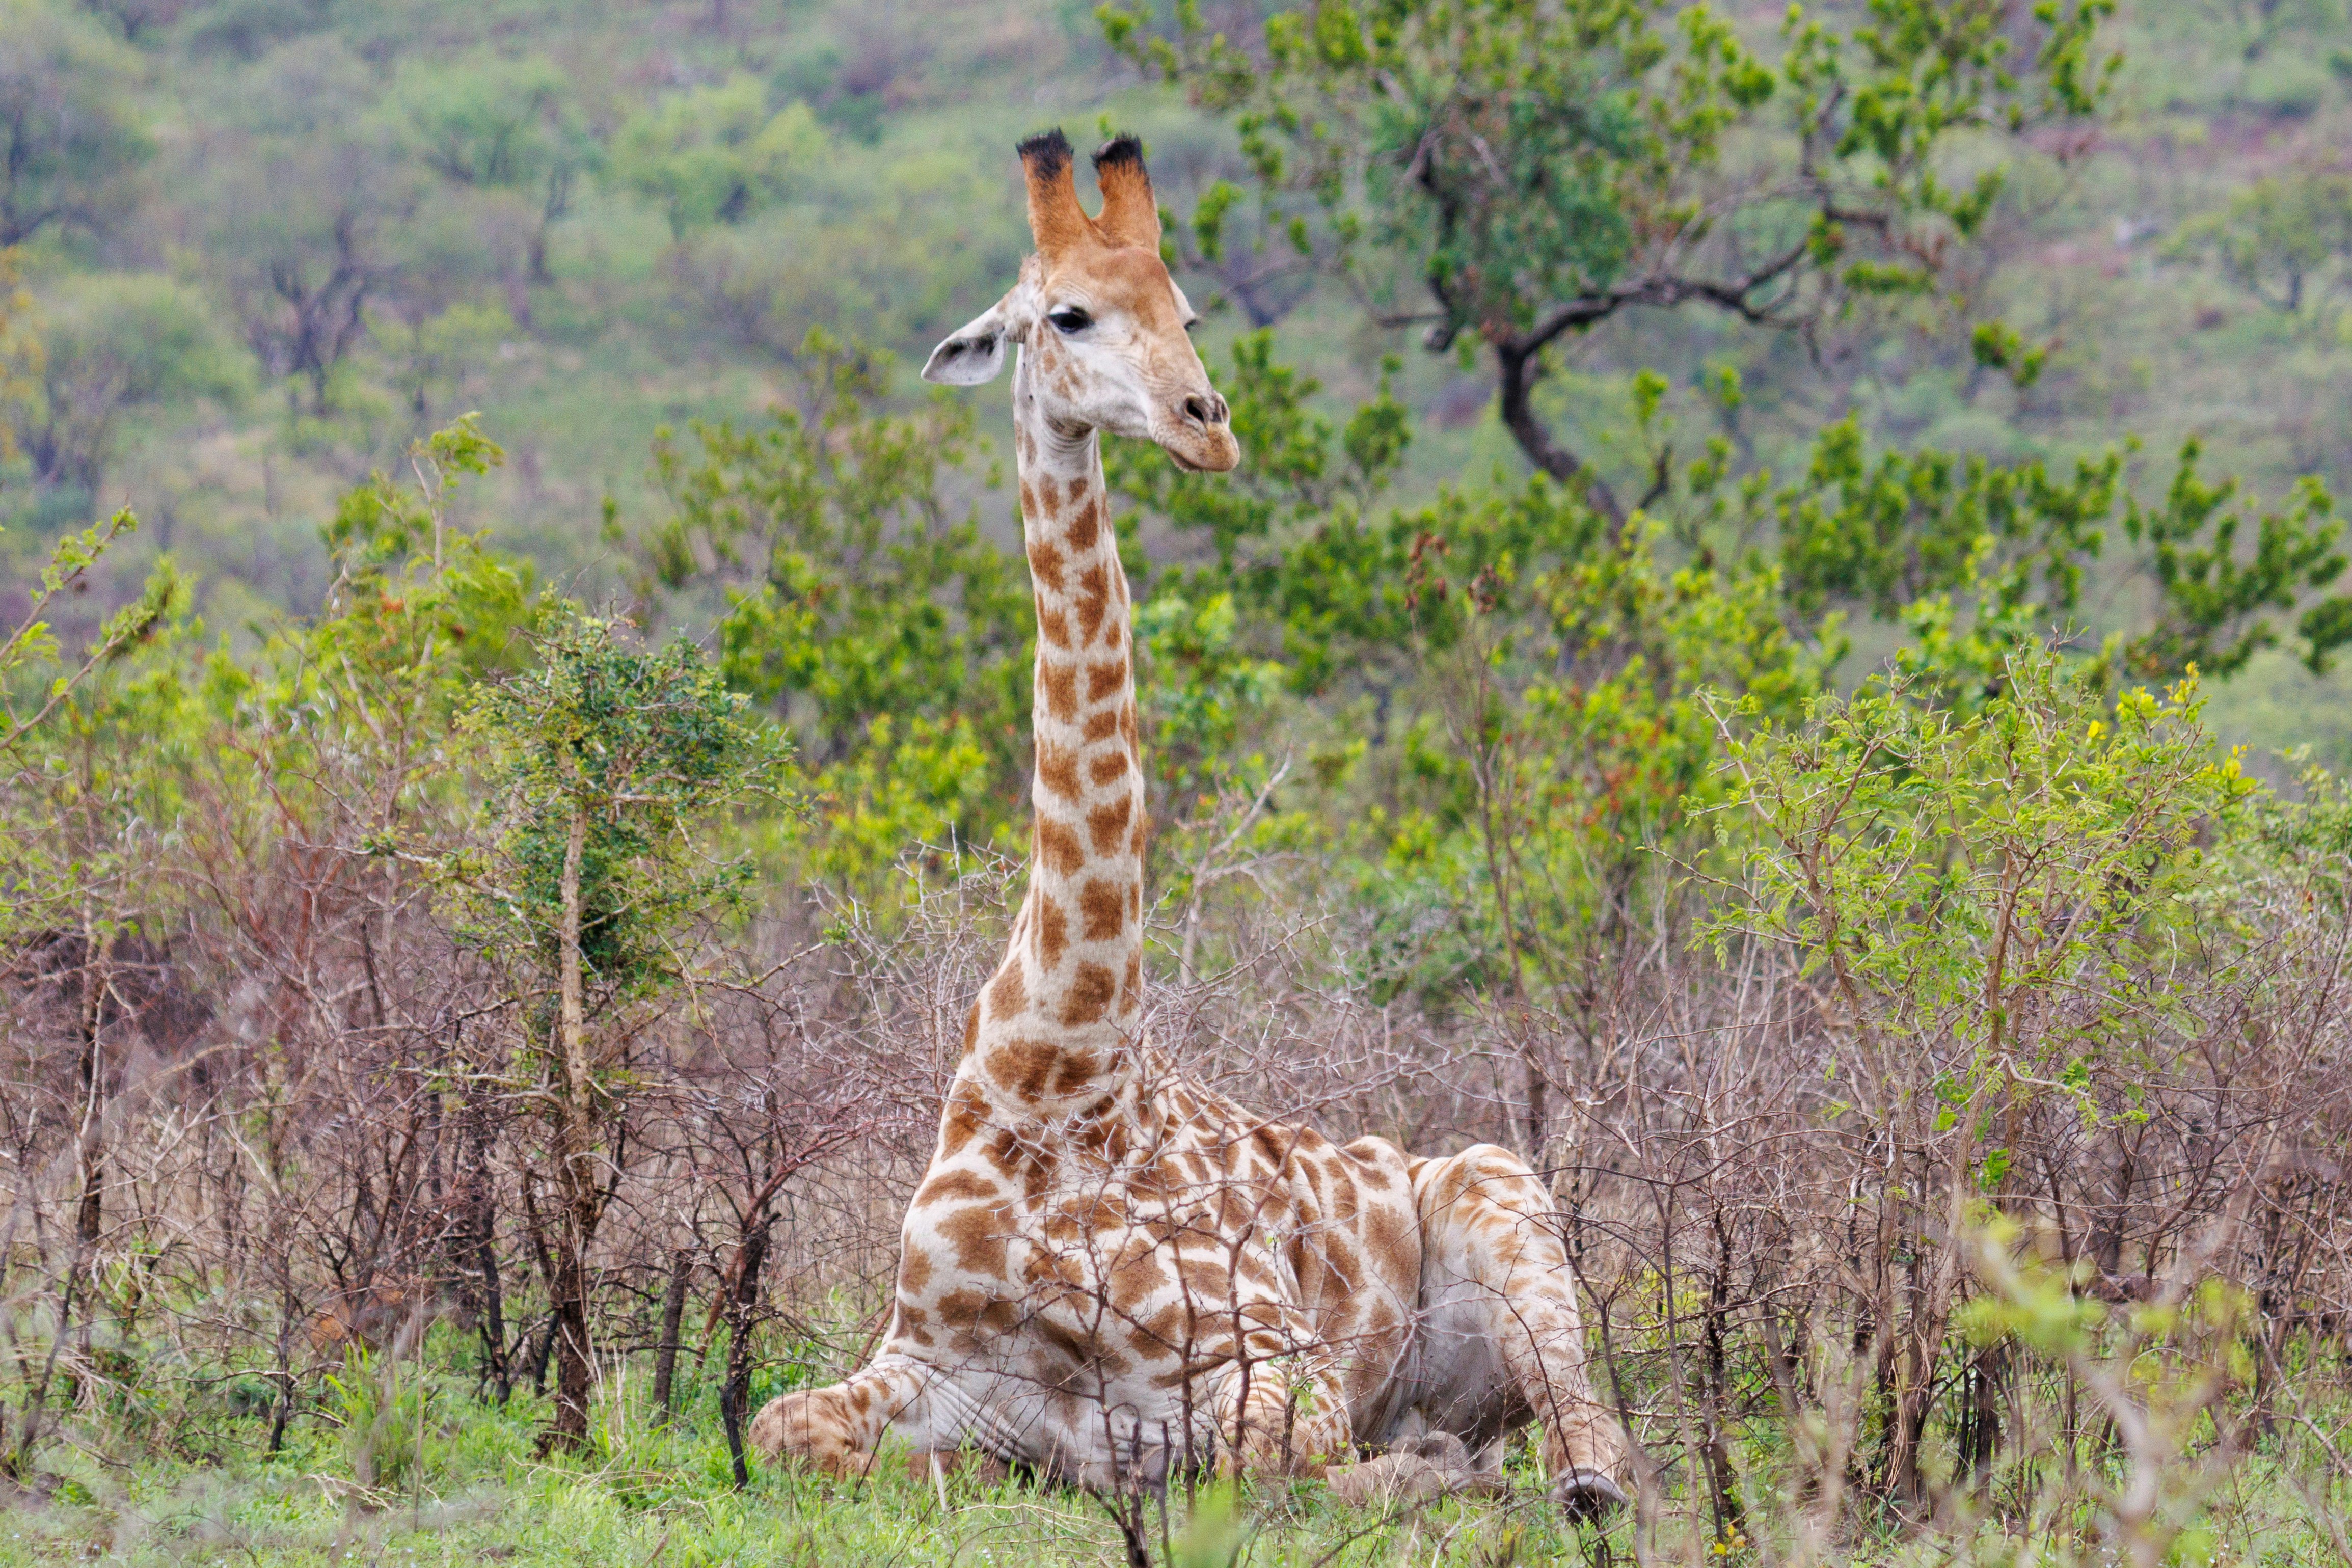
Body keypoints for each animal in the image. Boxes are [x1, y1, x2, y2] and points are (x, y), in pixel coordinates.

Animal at [748, 130, 1629, 1519]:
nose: (1206, 427)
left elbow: (1275, 1454)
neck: (1059, 1068)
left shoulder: (1267, 1350)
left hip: (1506, 1186)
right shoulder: (924, 1357)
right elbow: (782, 1424)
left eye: (1188, 312)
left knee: (1592, 1441)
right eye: (1067, 314)